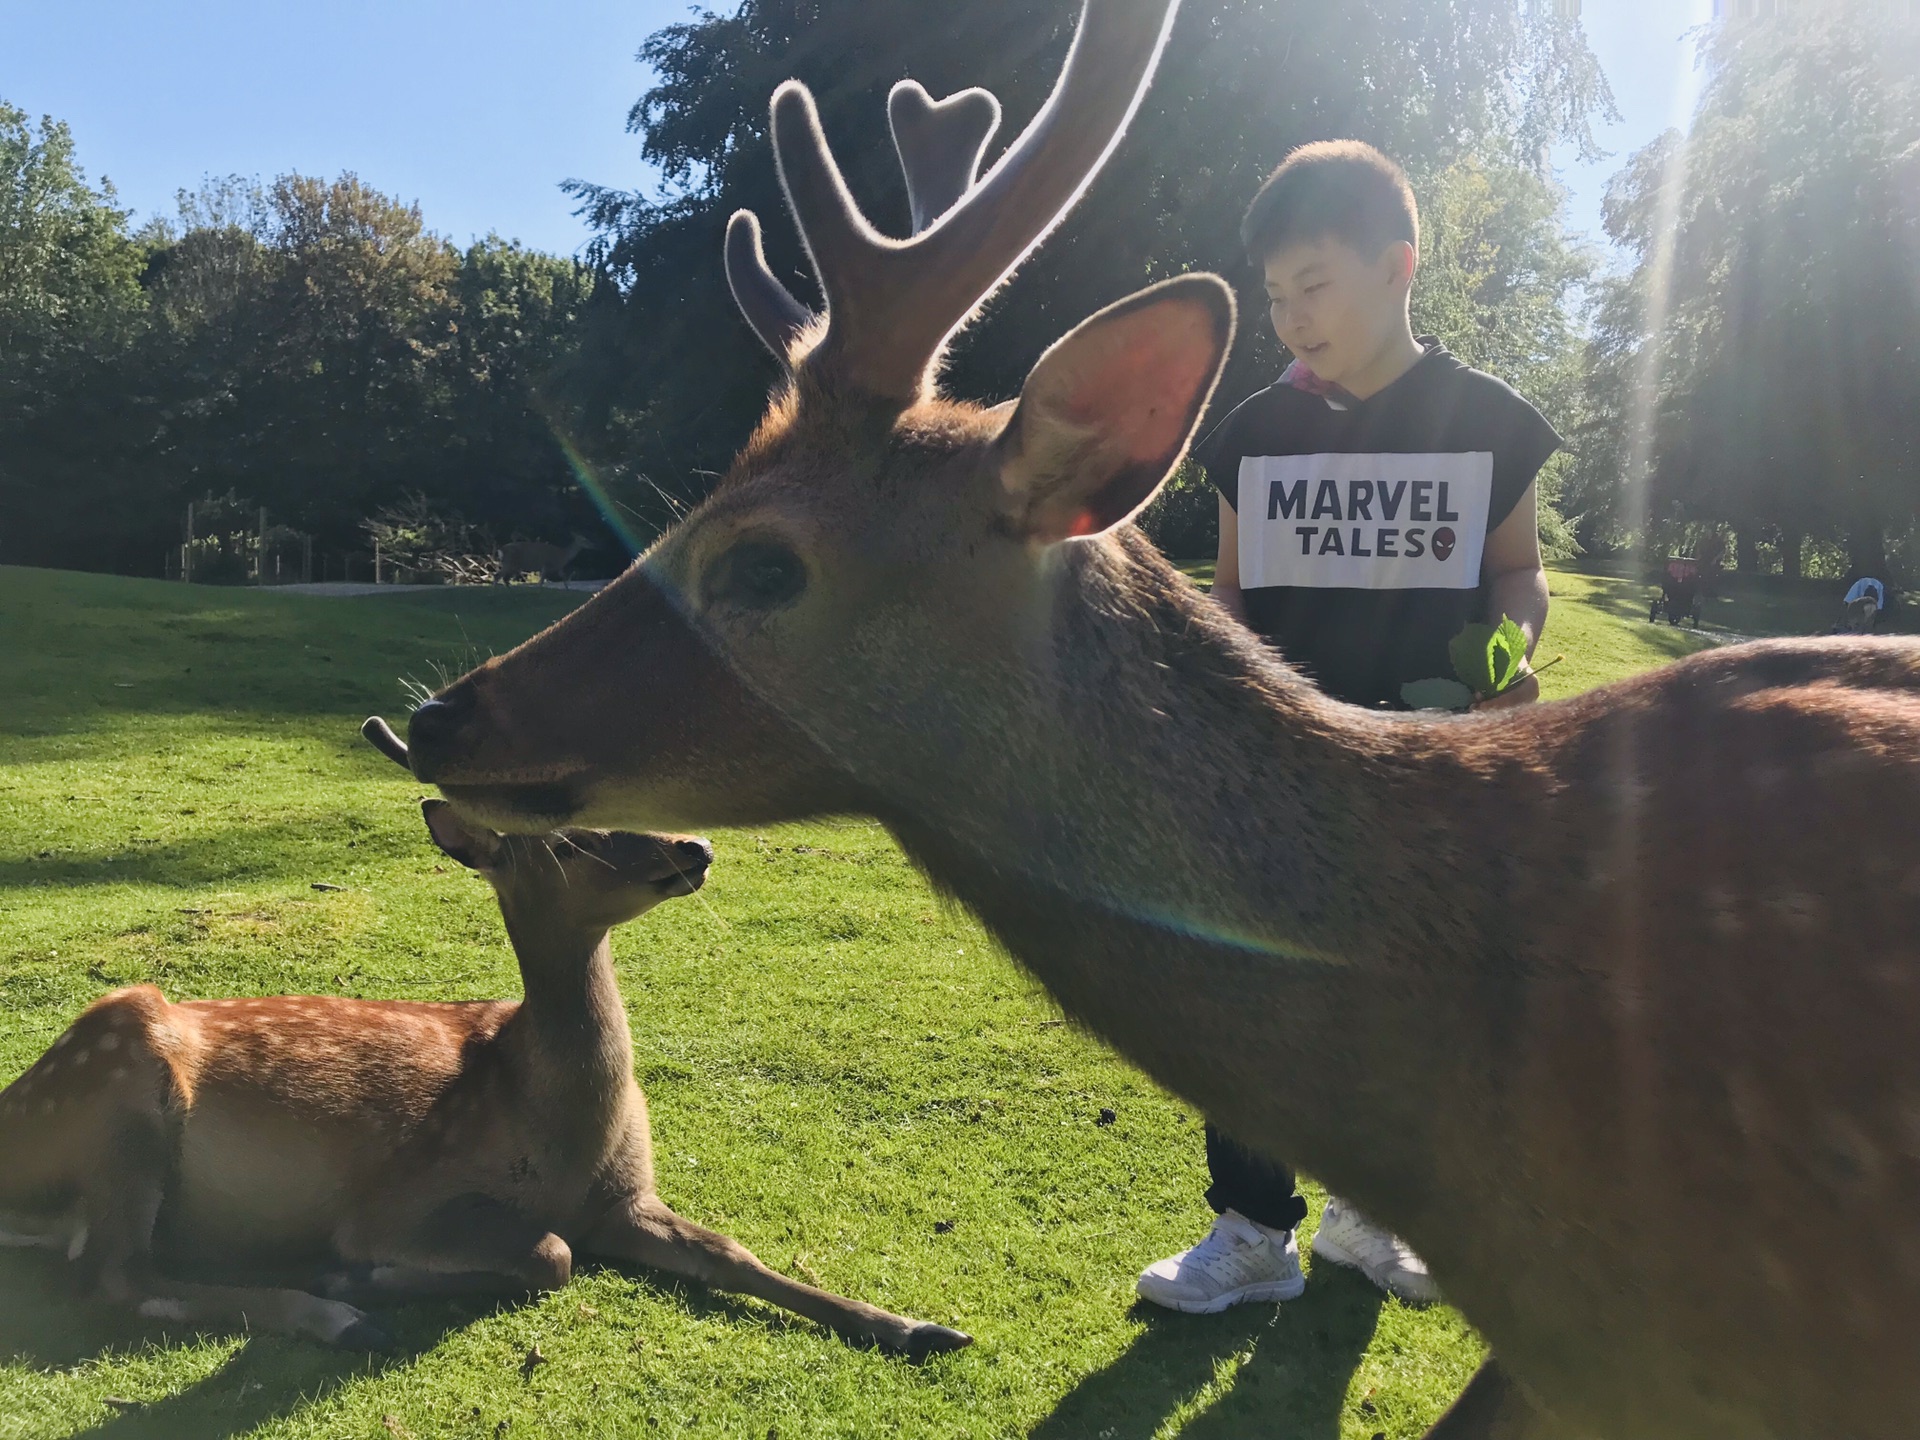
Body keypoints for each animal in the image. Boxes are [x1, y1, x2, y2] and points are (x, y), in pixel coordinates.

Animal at [0, 721, 967, 1367]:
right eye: (566, 842)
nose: (694, 845)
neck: (563, 1135)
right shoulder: (398, 1195)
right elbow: (550, 1254)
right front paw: (359, 1280)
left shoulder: (627, 1196)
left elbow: (734, 1253)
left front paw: (918, 1325)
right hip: (122, 1088)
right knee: (117, 1276)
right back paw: (336, 1314)